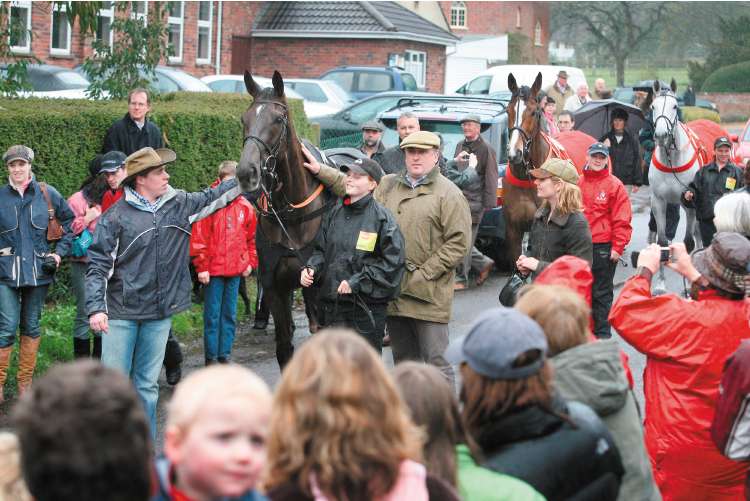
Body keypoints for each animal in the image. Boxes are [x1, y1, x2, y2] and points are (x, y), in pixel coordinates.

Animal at [236, 69, 328, 368]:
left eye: (278, 119)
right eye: (244, 119)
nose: (246, 172)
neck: (291, 216)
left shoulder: (318, 287)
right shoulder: (275, 287)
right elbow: (284, 347)